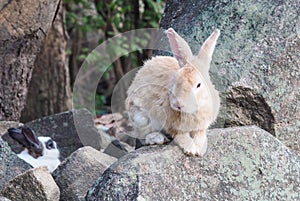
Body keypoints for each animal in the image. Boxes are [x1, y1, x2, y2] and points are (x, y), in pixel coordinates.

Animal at [124, 27, 220, 156]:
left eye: (198, 85)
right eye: (175, 80)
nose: (177, 104)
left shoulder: (202, 126)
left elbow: (200, 134)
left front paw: (199, 148)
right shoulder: (171, 124)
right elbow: (180, 135)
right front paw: (190, 149)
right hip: (140, 117)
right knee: (143, 136)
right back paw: (157, 138)